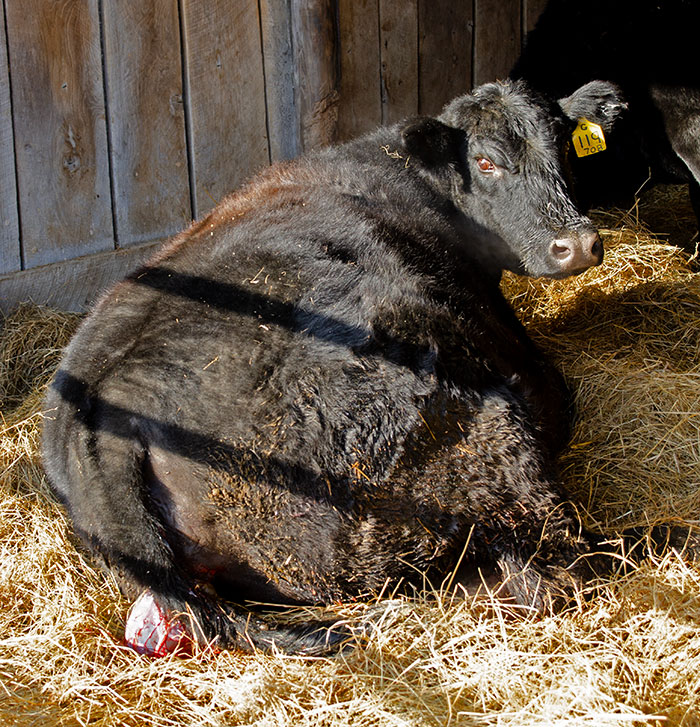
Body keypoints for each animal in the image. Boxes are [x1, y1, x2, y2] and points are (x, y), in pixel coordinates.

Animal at [43, 79, 634, 656]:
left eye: (565, 149)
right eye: (486, 162)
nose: (577, 243)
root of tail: (106, 404)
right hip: (475, 436)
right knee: (546, 568)